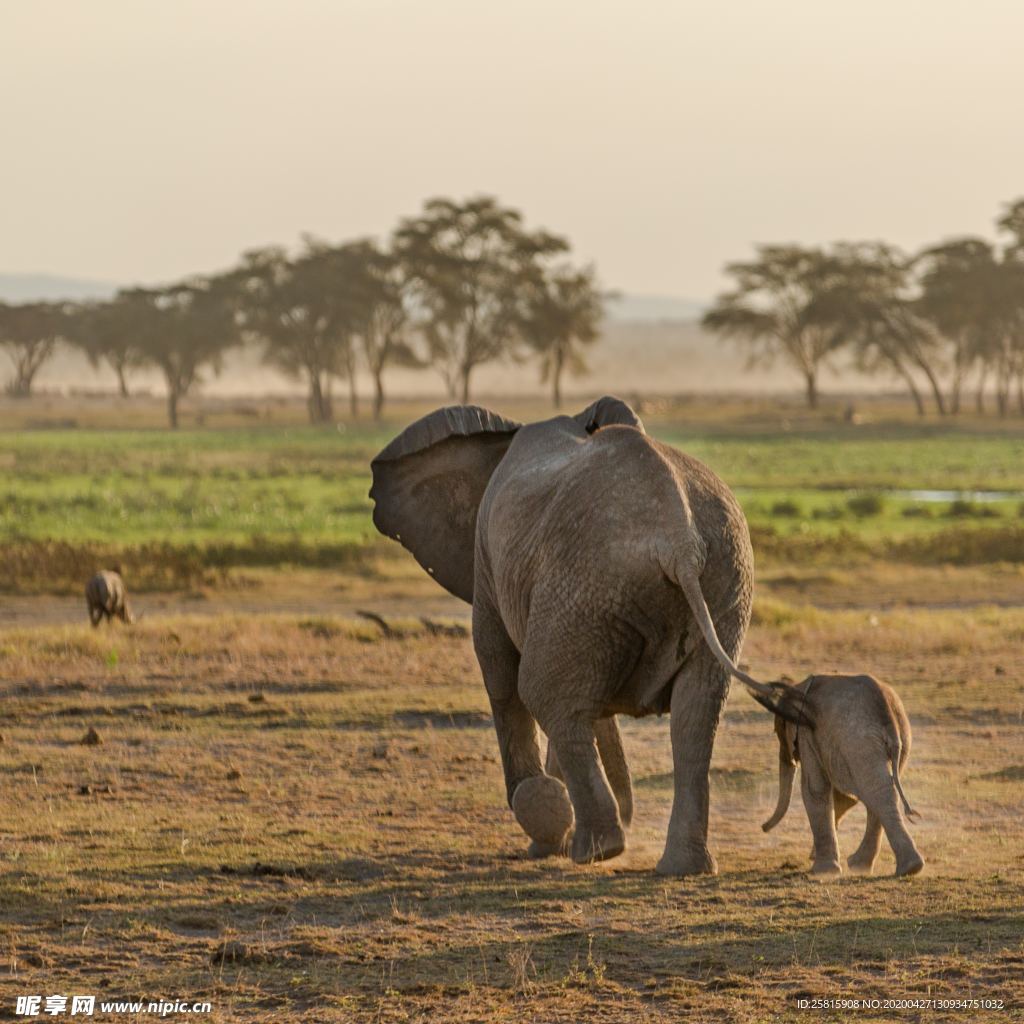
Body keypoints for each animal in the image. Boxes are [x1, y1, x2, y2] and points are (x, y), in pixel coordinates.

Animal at [370, 395, 798, 876]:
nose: (630, 812)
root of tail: (680, 541)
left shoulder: (488, 556)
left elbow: (499, 671)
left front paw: (545, 834)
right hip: (710, 581)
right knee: (695, 713)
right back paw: (678, 866)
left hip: (590, 586)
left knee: (546, 693)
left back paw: (598, 849)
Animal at [765, 671, 925, 880]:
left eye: (778, 731)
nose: (763, 828)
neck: (798, 688)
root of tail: (887, 712)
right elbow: (845, 796)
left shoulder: (808, 734)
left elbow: (814, 790)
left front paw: (823, 871)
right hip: (899, 739)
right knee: (880, 791)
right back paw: (893, 867)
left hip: (858, 740)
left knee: (875, 792)